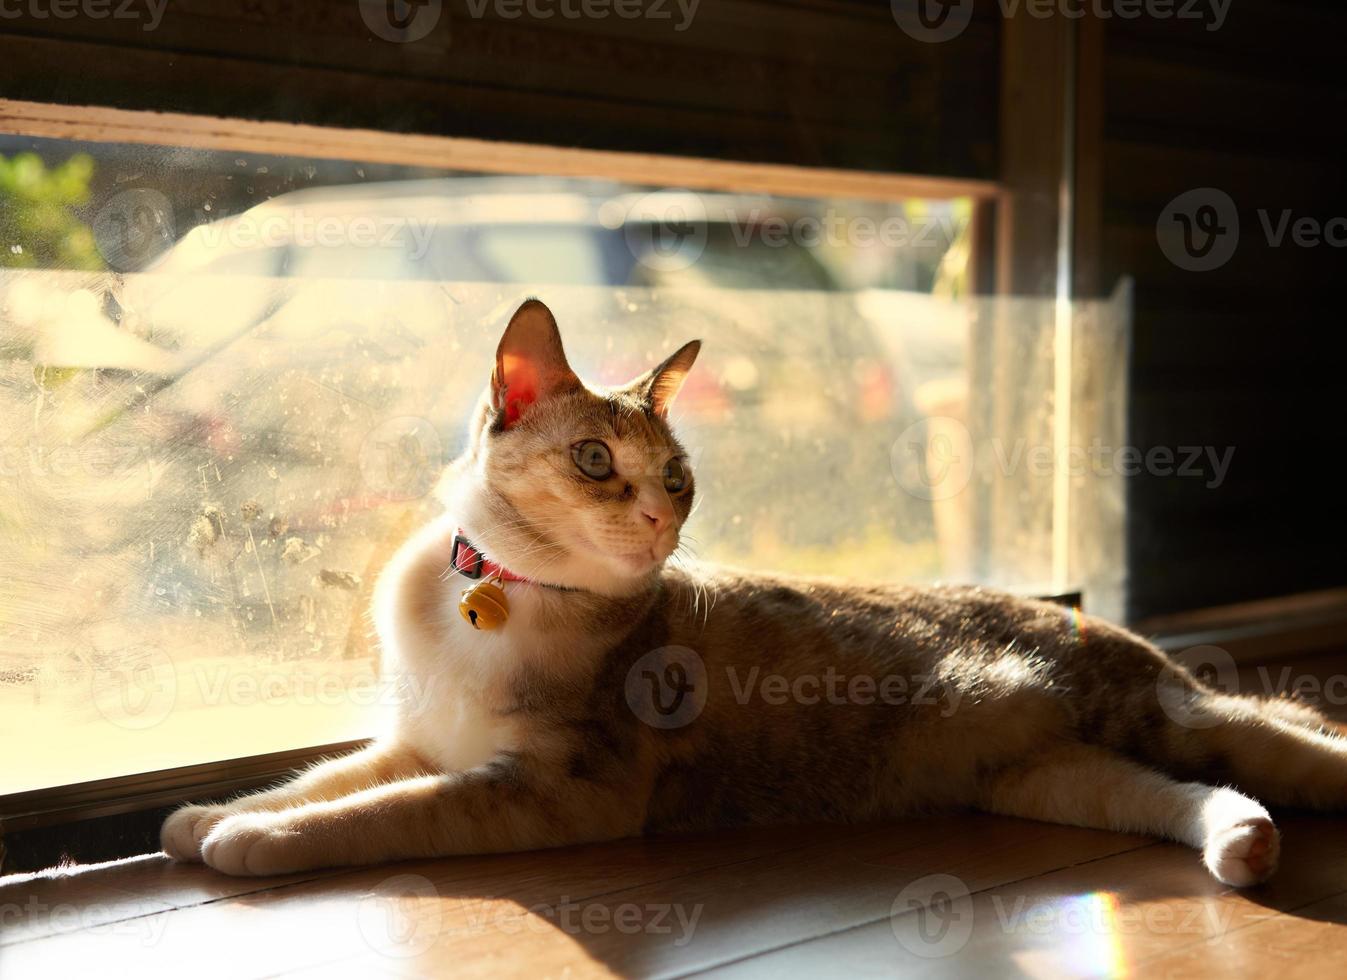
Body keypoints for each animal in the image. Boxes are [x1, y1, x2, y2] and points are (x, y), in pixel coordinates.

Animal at [162, 296, 1341, 883]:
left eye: (678, 478)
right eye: (596, 460)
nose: (656, 519)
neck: (493, 604)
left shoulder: (556, 785)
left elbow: (374, 813)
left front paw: (249, 847)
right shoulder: (416, 738)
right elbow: (318, 781)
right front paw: (206, 817)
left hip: (1169, 717)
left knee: (1289, 743)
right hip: (1050, 777)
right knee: (1197, 800)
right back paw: (1245, 850)